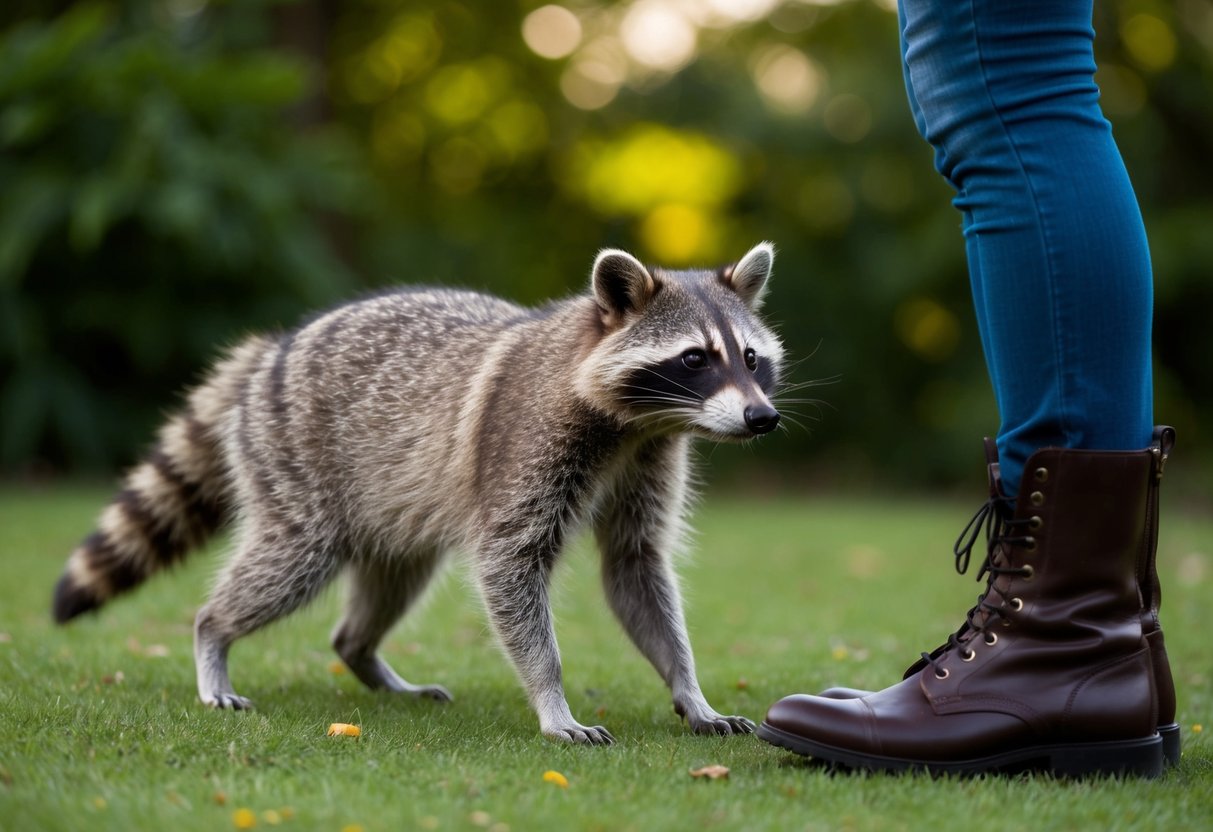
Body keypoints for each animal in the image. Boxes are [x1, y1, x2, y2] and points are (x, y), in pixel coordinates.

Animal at [53, 242, 785, 744]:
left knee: (391, 581)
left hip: (389, 506)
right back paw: (213, 636)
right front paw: (551, 699)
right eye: (695, 359)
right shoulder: (526, 446)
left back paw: (362, 653)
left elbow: (634, 565)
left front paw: (689, 687)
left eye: (750, 359)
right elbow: (510, 565)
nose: (762, 419)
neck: (637, 422)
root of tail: (271, 352)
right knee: (291, 560)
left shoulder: (650, 458)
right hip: (296, 464)